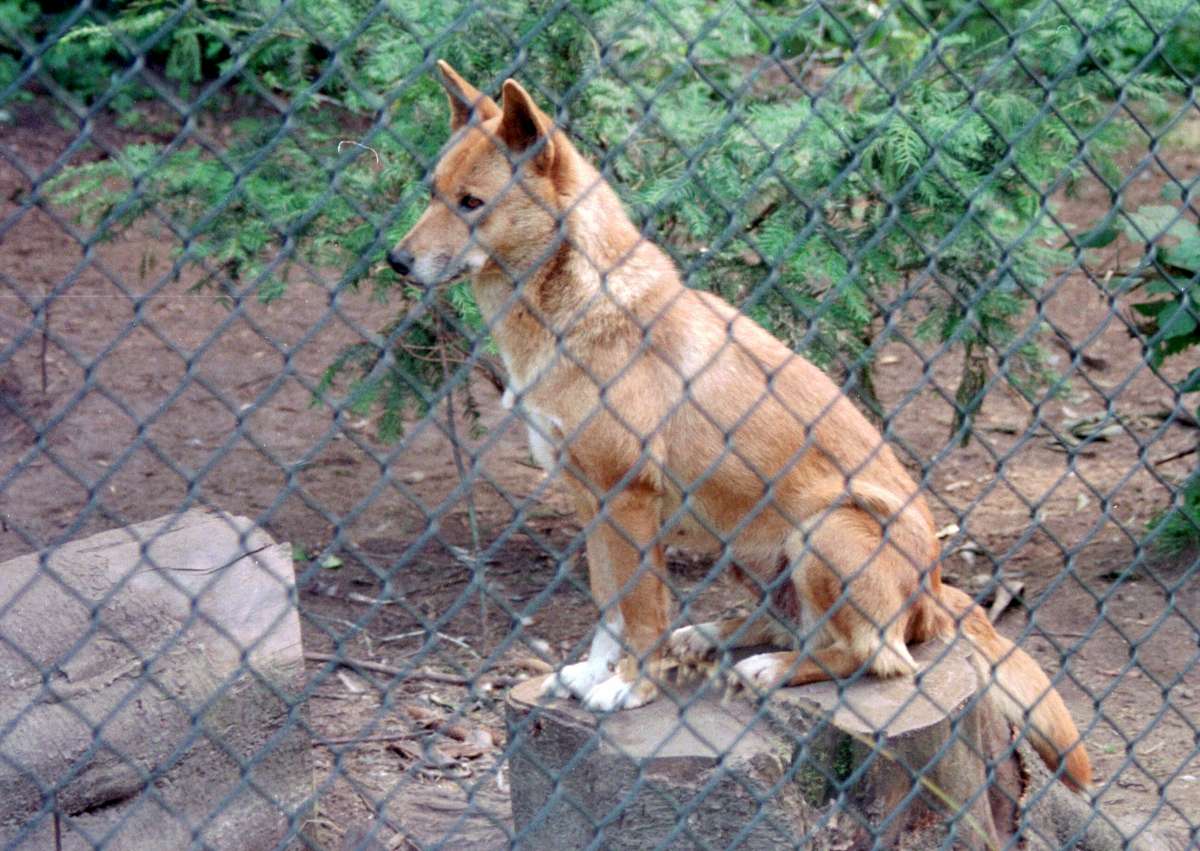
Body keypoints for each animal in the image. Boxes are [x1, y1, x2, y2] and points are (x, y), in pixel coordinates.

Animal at [388, 61, 1092, 791]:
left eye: (473, 203)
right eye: (432, 193)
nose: (395, 261)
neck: (576, 312)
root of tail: (934, 592)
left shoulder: (628, 497)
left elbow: (640, 612)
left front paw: (631, 687)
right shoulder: (591, 499)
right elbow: (611, 604)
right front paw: (592, 672)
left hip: (825, 526)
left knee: (878, 655)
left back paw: (767, 670)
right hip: (752, 549)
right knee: (800, 629)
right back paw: (713, 637)